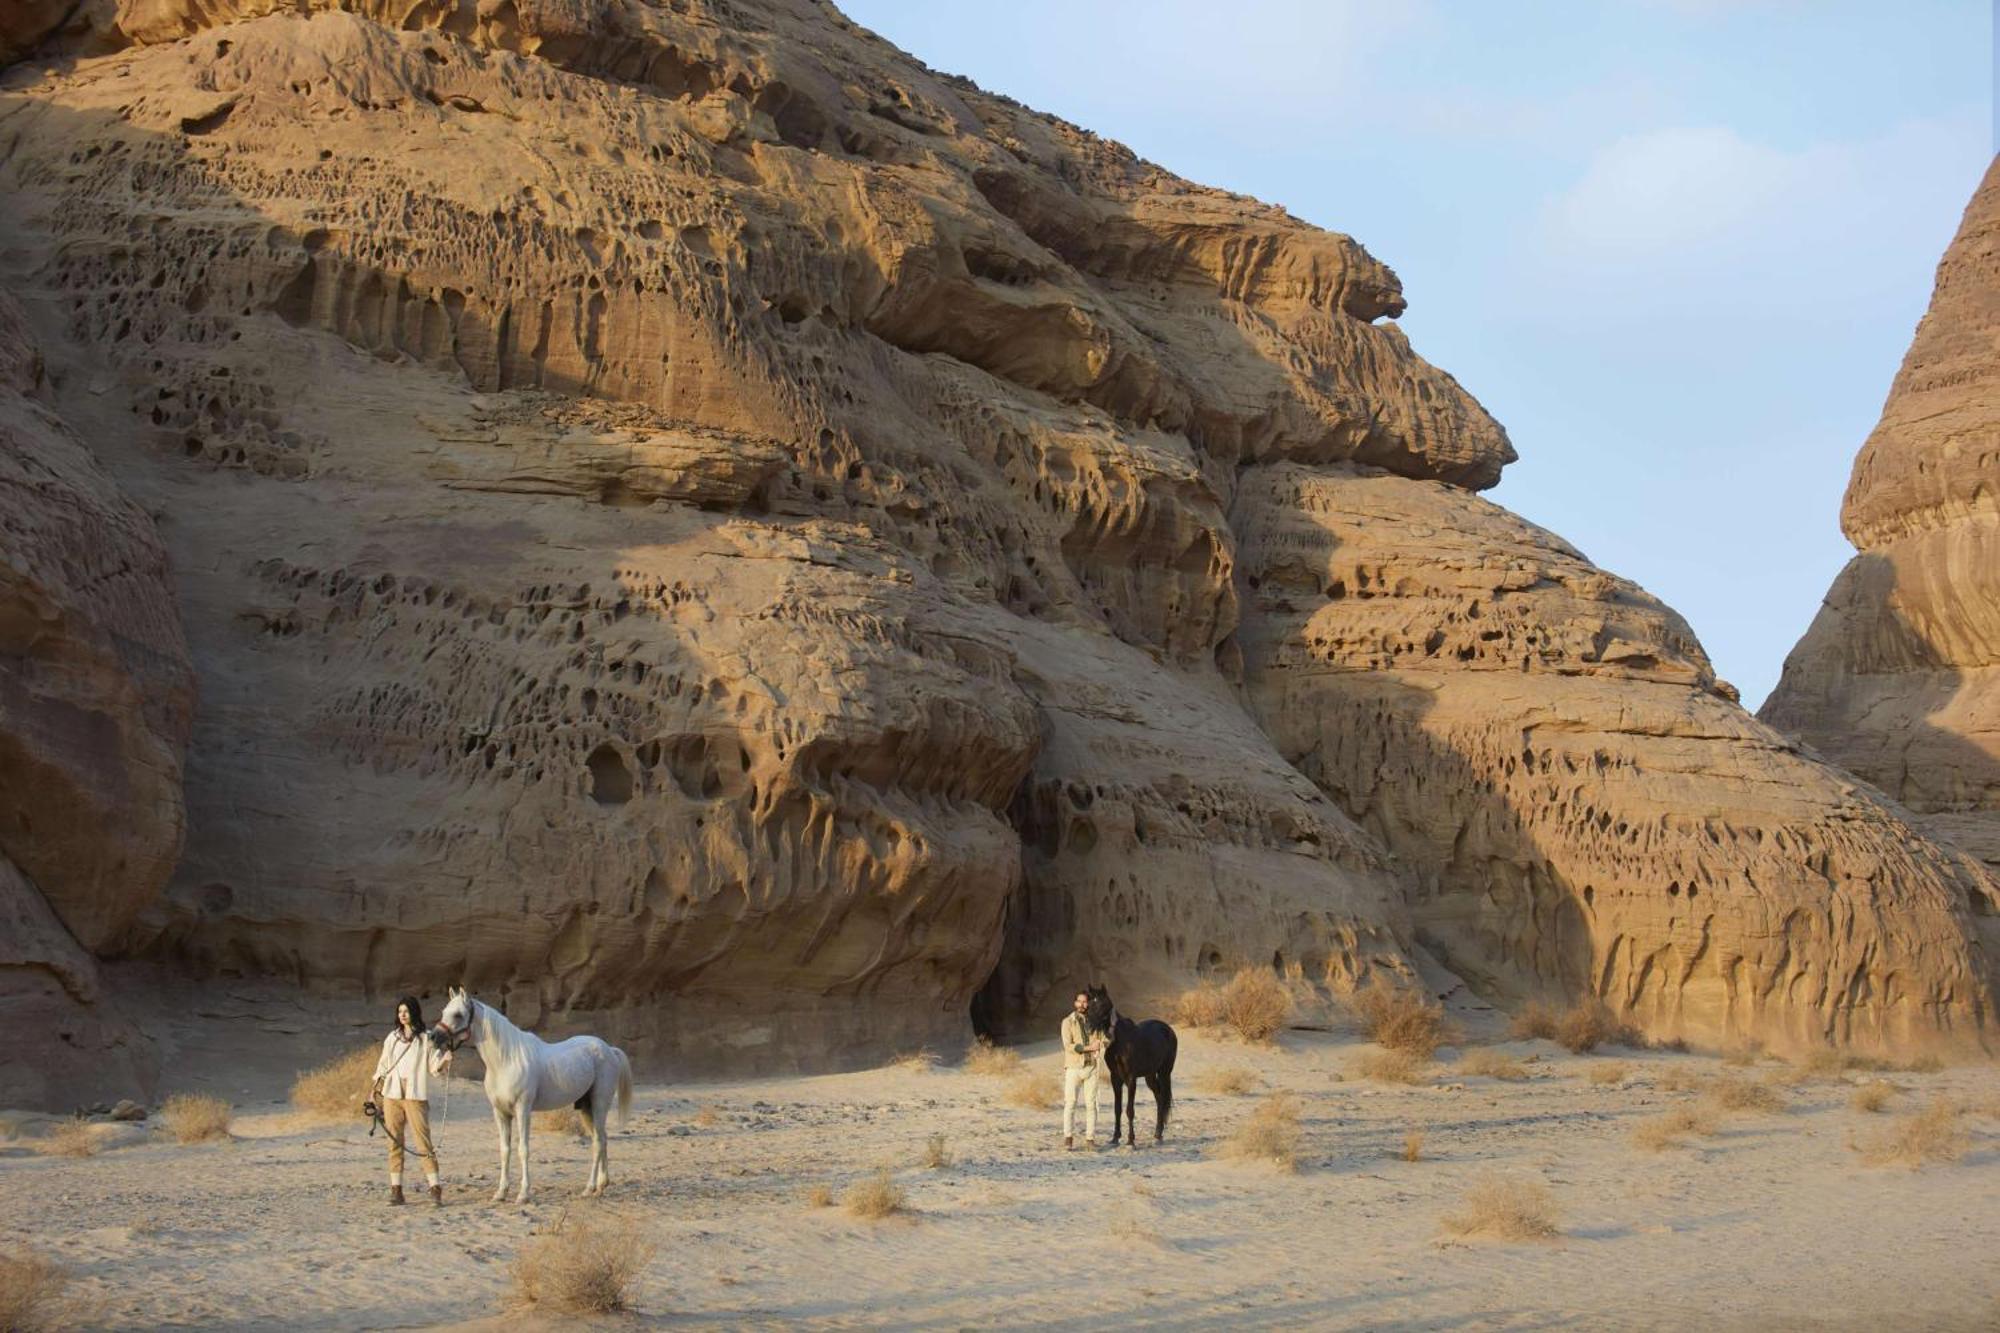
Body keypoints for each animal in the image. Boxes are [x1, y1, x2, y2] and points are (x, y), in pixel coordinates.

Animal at [432, 980, 632, 1200]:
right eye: (443, 1012)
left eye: (458, 1014)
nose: (433, 1037)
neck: (506, 1061)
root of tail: (609, 1050)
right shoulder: (500, 1112)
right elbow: (505, 1150)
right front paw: (501, 1192)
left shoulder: (523, 1110)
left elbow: (523, 1149)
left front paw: (523, 1194)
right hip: (586, 1108)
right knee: (602, 1140)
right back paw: (602, 1185)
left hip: (599, 1104)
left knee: (597, 1142)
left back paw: (589, 1188)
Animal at [1088, 976, 1176, 1144]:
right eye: (1089, 1004)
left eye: (1102, 1004)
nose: (1089, 1026)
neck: (1120, 1041)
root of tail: (1168, 1029)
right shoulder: (1115, 1078)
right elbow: (1117, 1108)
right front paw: (1115, 1138)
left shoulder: (1130, 1078)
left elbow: (1130, 1110)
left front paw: (1131, 1140)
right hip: (1150, 1076)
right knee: (1159, 1098)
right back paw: (1158, 1133)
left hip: (1164, 1073)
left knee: (1162, 1098)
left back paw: (1159, 1134)